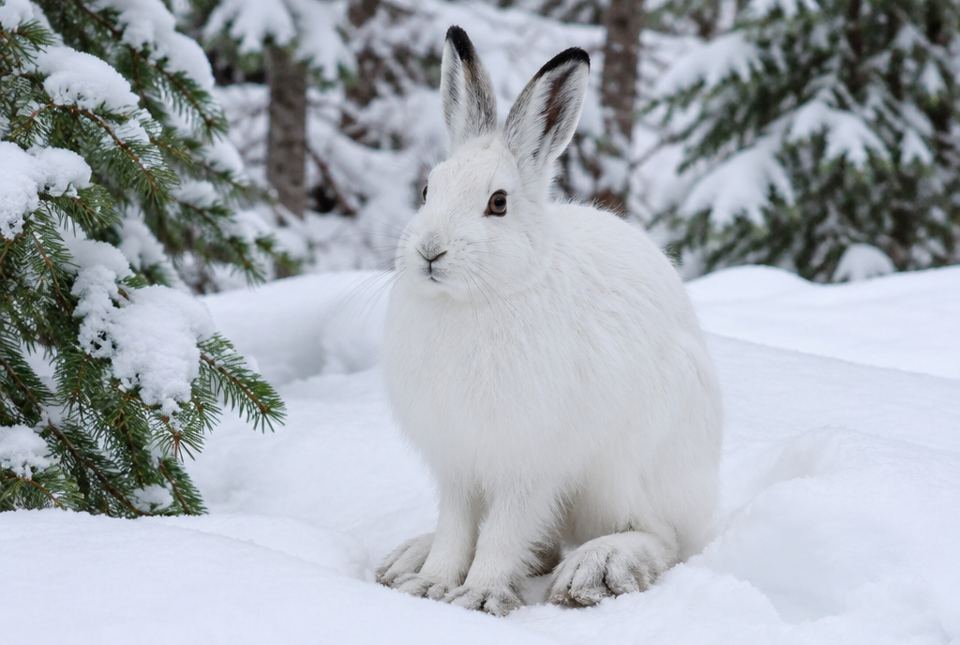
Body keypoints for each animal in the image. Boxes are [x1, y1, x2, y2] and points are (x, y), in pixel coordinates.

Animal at [376, 26, 723, 616]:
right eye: (427, 191)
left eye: (497, 203)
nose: (429, 251)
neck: (476, 300)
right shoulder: (457, 463)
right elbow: (456, 529)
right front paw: (430, 586)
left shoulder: (529, 464)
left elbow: (502, 532)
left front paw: (477, 596)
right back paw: (409, 558)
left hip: (626, 469)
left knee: (661, 536)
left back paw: (598, 568)